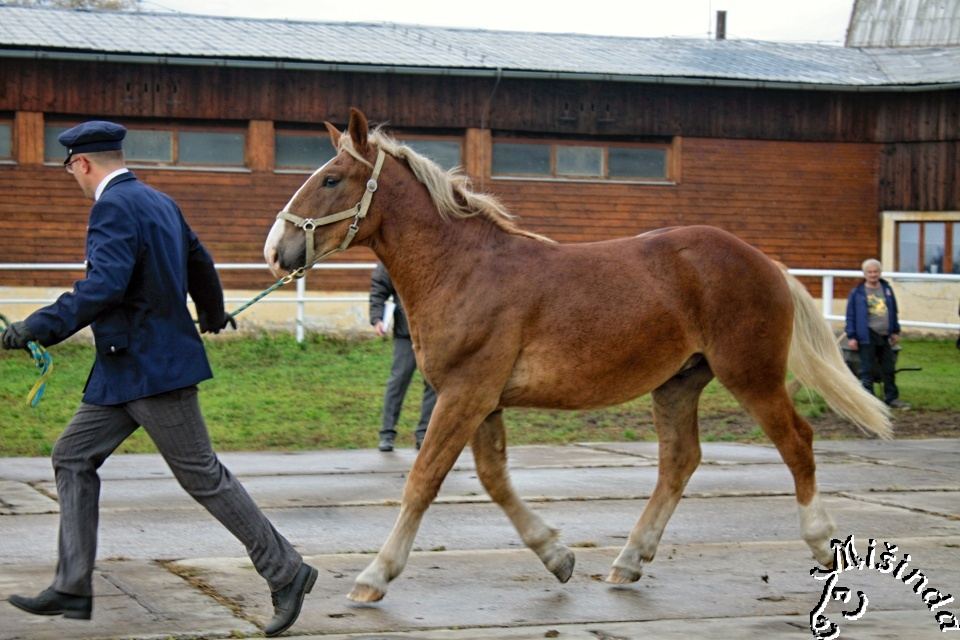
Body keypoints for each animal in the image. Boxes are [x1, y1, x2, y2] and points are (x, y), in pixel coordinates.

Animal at [264, 107, 892, 604]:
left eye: (331, 179)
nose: (277, 249)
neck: (464, 267)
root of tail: (765, 262)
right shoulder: (482, 401)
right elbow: (494, 479)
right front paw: (556, 556)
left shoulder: (464, 395)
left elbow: (423, 479)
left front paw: (374, 575)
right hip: (679, 383)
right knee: (679, 462)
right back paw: (629, 561)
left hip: (751, 374)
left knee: (797, 443)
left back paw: (821, 541)